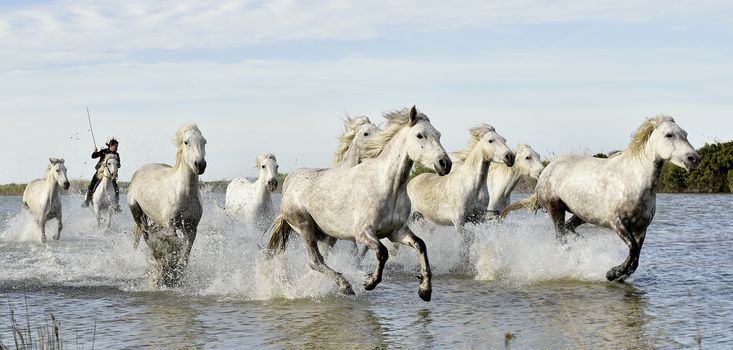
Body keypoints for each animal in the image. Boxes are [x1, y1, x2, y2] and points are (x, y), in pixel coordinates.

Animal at [127, 123, 207, 288]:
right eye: (186, 142)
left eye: (204, 141)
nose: (200, 164)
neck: (184, 194)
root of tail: (138, 172)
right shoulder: (170, 226)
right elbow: (173, 248)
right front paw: (166, 275)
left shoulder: (192, 228)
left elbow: (185, 253)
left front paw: (178, 276)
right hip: (137, 213)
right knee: (147, 238)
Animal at [268, 106, 452, 300]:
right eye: (420, 135)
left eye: (438, 134)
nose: (445, 164)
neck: (388, 186)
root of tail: (289, 183)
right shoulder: (363, 233)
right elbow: (382, 253)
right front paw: (369, 282)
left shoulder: (396, 231)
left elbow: (420, 245)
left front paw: (425, 290)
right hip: (305, 227)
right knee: (315, 261)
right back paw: (345, 286)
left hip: (327, 235)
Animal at [500, 117, 700, 282]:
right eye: (669, 134)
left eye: (685, 134)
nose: (694, 159)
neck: (635, 181)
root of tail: (545, 171)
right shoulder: (617, 223)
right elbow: (633, 249)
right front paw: (612, 273)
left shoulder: (641, 228)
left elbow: (635, 258)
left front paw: (617, 275)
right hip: (555, 207)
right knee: (561, 236)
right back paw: (576, 260)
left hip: (582, 214)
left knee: (569, 230)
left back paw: (582, 246)